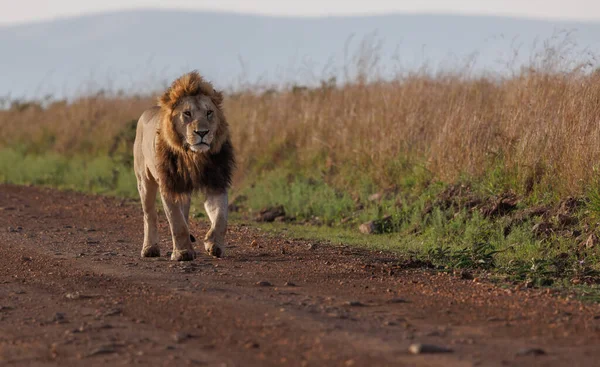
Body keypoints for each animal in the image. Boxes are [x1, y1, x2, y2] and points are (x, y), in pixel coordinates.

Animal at [133, 71, 234, 262]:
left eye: (209, 112)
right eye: (187, 113)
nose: (202, 132)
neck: (193, 156)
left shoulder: (216, 181)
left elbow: (221, 217)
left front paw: (214, 245)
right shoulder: (169, 184)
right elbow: (176, 222)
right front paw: (183, 252)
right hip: (144, 180)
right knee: (149, 215)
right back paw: (149, 248)